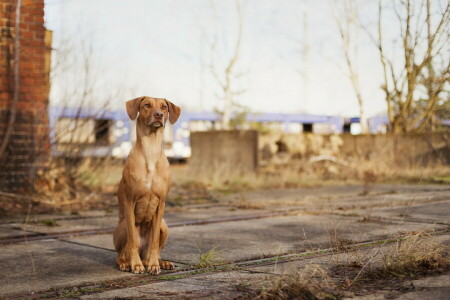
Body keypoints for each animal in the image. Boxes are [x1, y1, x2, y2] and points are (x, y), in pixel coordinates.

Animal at [112, 96, 181, 274]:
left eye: (164, 107)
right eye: (147, 105)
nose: (158, 115)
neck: (151, 151)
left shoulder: (161, 204)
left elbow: (154, 242)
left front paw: (154, 265)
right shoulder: (129, 202)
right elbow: (132, 242)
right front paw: (135, 265)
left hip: (164, 224)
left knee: (151, 250)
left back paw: (160, 262)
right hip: (123, 225)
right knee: (123, 252)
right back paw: (126, 263)